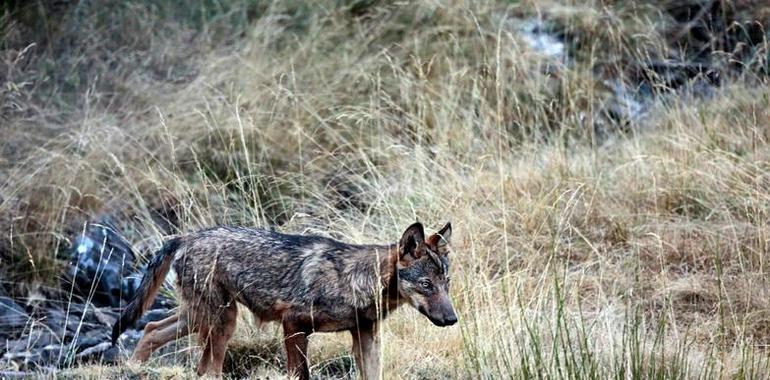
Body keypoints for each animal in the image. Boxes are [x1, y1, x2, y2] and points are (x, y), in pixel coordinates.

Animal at [109, 221, 456, 378]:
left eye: (447, 284)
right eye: (426, 285)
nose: (453, 319)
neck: (354, 280)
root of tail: (185, 236)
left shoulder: (365, 336)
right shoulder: (294, 325)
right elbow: (300, 374)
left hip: (203, 318)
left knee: (152, 328)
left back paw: (132, 368)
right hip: (221, 322)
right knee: (207, 368)